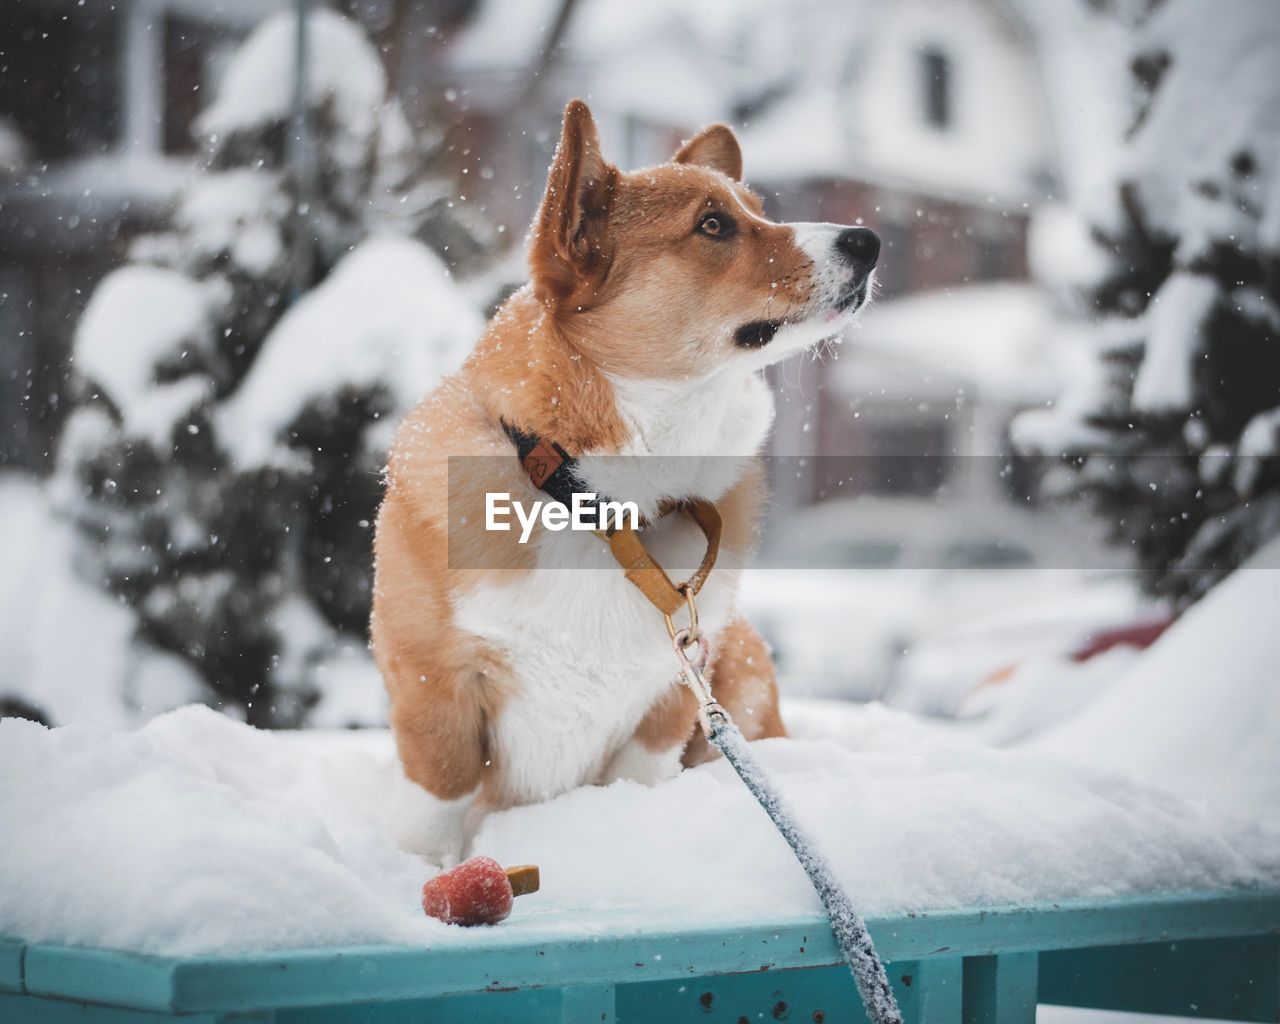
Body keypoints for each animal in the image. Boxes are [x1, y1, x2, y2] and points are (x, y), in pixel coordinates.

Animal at [366, 101, 875, 865]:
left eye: (759, 210)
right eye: (713, 225)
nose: (869, 241)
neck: (602, 505)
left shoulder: (670, 693)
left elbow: (639, 776)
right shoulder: (433, 682)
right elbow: (439, 800)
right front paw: (417, 873)